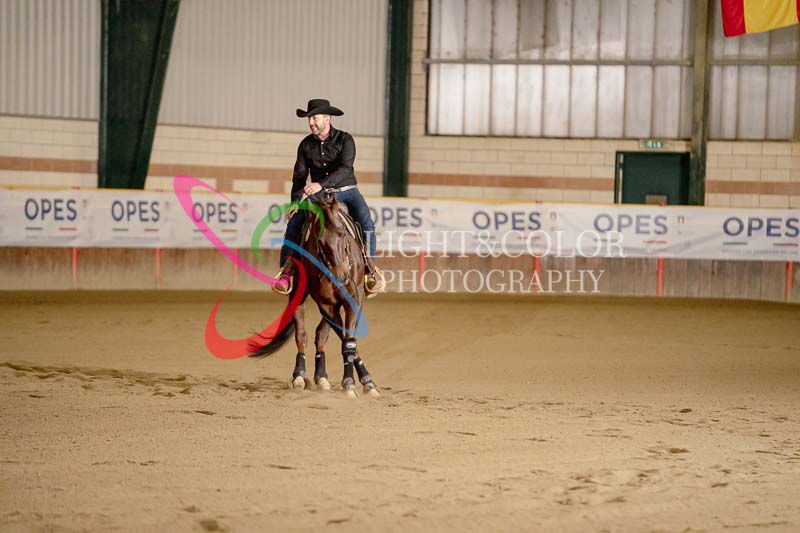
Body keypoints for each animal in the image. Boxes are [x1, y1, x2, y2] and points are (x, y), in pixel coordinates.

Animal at [248, 192, 379, 398]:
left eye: (343, 235)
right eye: (321, 242)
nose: (342, 275)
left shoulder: (353, 300)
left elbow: (348, 341)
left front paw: (363, 382)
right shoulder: (326, 303)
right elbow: (343, 339)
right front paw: (350, 383)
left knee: (321, 334)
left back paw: (322, 377)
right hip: (299, 296)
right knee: (302, 335)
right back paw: (300, 376)